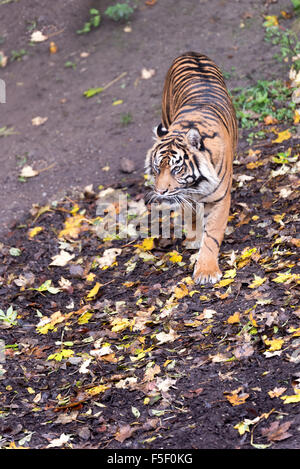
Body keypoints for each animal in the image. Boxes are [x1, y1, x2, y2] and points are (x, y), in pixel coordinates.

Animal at [144, 51, 238, 286]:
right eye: (157, 168)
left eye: (176, 169)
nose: (160, 191)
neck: (195, 185)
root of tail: (191, 53)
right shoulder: (185, 197)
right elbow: (191, 215)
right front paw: (195, 239)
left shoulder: (220, 198)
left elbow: (212, 234)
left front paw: (206, 270)